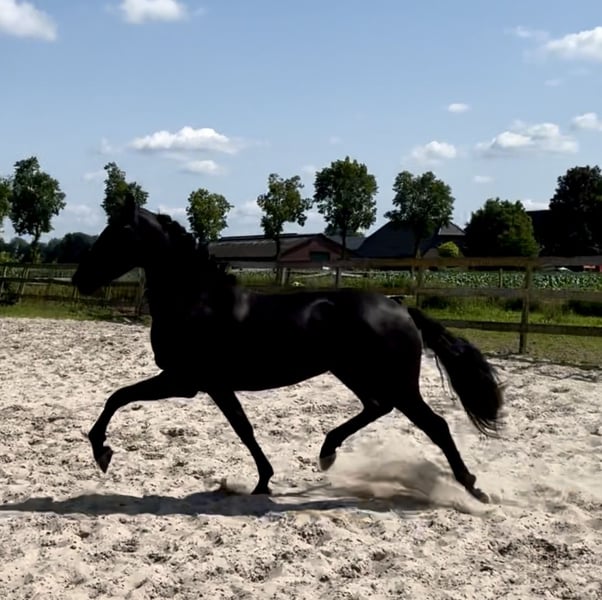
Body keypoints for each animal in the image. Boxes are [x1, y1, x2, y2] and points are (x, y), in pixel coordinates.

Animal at [72, 195, 504, 503]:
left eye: (115, 234)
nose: (79, 279)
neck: (197, 299)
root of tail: (400, 307)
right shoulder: (214, 385)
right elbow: (243, 428)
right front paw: (264, 481)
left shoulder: (184, 380)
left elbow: (117, 396)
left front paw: (102, 453)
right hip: (353, 372)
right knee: (376, 407)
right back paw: (327, 453)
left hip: (396, 382)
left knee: (435, 425)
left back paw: (473, 488)